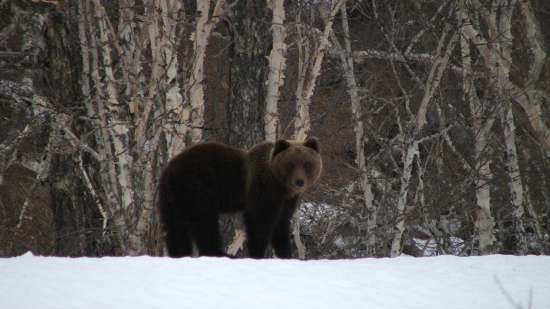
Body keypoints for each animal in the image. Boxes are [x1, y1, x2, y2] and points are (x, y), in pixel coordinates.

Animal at [158, 137, 324, 258]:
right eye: (291, 164)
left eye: (307, 164)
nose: (299, 181)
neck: (280, 187)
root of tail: (171, 167)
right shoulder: (262, 191)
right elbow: (259, 222)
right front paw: (258, 253)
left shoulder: (286, 202)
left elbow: (281, 225)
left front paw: (285, 254)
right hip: (199, 188)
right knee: (204, 221)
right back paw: (219, 253)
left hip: (173, 196)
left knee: (174, 225)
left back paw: (180, 253)